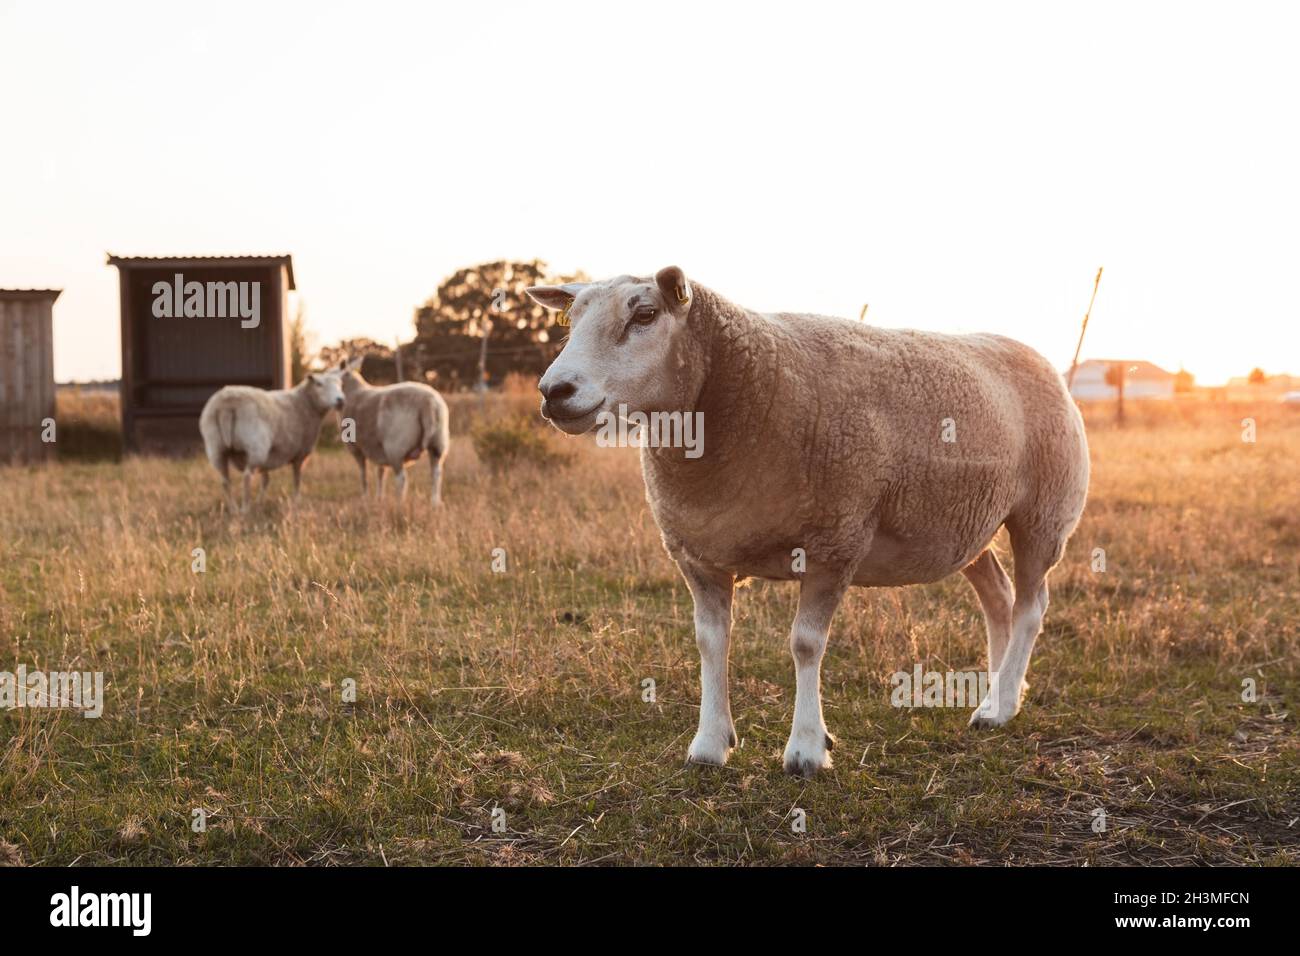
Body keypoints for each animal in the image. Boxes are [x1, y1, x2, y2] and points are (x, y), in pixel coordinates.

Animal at [196, 369, 348, 512]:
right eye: (319, 384)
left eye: (340, 384)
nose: (340, 400)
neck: (305, 404)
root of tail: (226, 404)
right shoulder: (299, 454)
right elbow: (297, 479)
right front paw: (296, 501)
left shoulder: (269, 457)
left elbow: (265, 480)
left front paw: (260, 503)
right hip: (256, 446)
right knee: (246, 477)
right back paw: (245, 509)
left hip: (216, 447)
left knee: (225, 481)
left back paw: (234, 510)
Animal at [338, 361, 449, 509]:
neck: (354, 392)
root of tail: (428, 402)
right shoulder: (378, 448)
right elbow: (380, 472)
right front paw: (379, 498)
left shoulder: (356, 448)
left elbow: (363, 474)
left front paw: (365, 497)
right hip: (438, 443)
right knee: (436, 473)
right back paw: (435, 503)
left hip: (396, 447)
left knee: (401, 478)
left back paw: (399, 504)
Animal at [525, 267, 1086, 780]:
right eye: (571, 319)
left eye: (644, 315)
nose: (554, 390)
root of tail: (1035, 355)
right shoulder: (698, 555)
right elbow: (711, 642)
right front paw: (710, 743)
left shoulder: (836, 540)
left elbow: (805, 644)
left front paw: (808, 749)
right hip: (966, 524)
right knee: (998, 597)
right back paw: (1001, 691)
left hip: (1044, 512)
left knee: (1031, 607)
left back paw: (1000, 704)